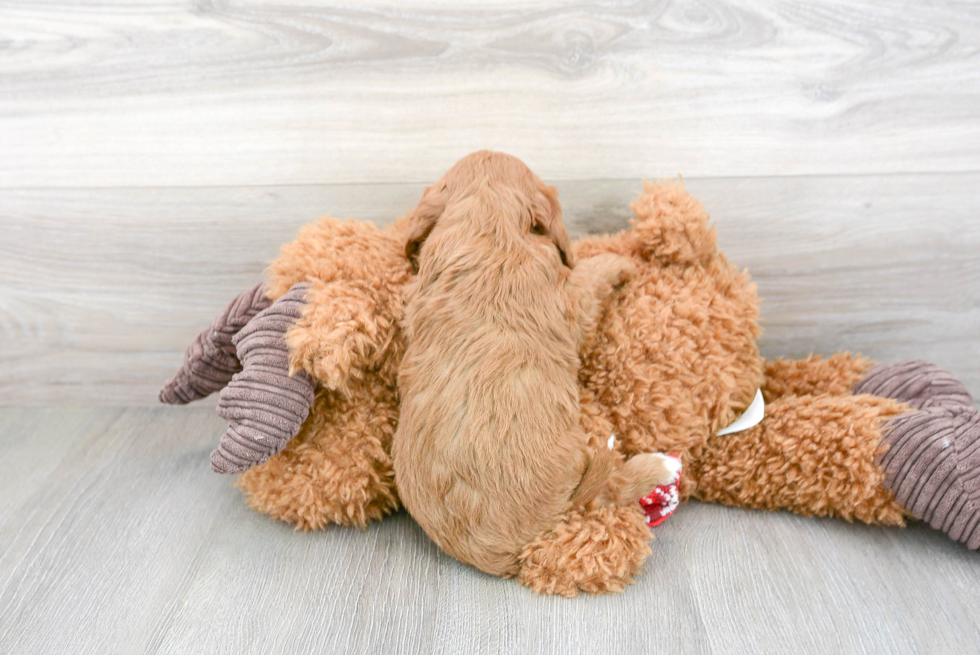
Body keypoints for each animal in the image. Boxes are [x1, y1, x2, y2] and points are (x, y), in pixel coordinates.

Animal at [394, 152, 676, 580]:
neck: (487, 222)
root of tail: (506, 554)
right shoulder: (572, 300)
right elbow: (590, 275)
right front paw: (620, 262)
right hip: (576, 471)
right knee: (607, 489)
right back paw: (660, 465)